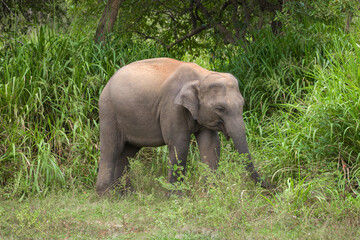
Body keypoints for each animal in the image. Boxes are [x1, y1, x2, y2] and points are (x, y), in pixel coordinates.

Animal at [95, 57, 270, 195]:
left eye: (242, 105)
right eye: (220, 109)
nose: (272, 188)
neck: (201, 76)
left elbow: (210, 144)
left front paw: (211, 193)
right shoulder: (172, 107)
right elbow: (179, 144)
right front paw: (176, 196)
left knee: (128, 152)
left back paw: (125, 194)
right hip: (108, 110)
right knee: (111, 148)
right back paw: (106, 194)